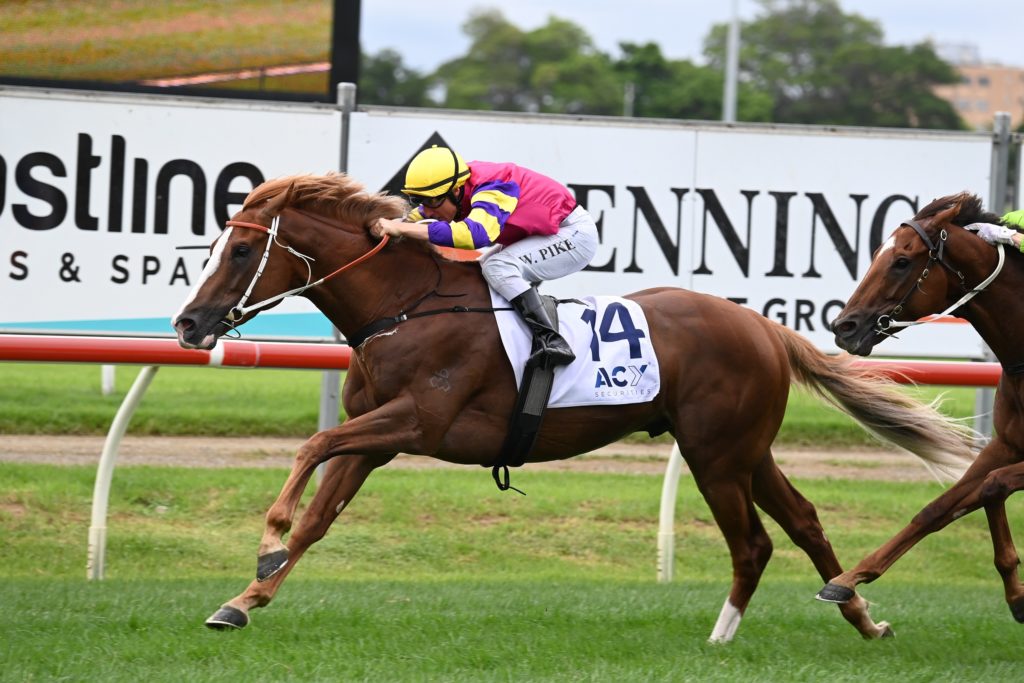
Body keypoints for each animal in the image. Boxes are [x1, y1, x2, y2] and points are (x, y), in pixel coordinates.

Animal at [172, 172, 977, 642]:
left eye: (239, 253)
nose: (187, 323)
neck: (403, 305)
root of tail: (762, 325)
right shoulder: (375, 439)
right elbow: (319, 515)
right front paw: (243, 597)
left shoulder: (417, 421)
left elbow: (310, 450)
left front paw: (266, 538)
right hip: (746, 450)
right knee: (805, 521)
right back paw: (861, 616)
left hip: (716, 454)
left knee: (753, 543)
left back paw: (720, 638)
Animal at [819, 191, 1024, 621]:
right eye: (876, 253)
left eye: (901, 261)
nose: (843, 327)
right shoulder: (1007, 443)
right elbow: (941, 506)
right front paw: (847, 579)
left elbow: (990, 486)